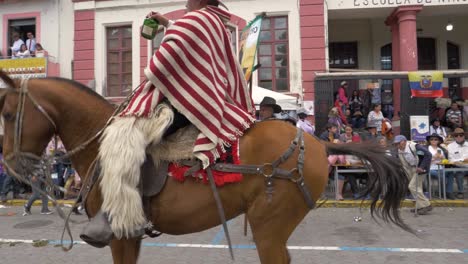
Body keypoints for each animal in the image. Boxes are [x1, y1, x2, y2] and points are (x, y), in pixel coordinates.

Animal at [0, 70, 410, 264]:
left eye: (6, 113)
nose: (10, 163)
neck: (100, 141)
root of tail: (319, 143)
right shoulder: (131, 237)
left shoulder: (121, 234)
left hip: (269, 227)